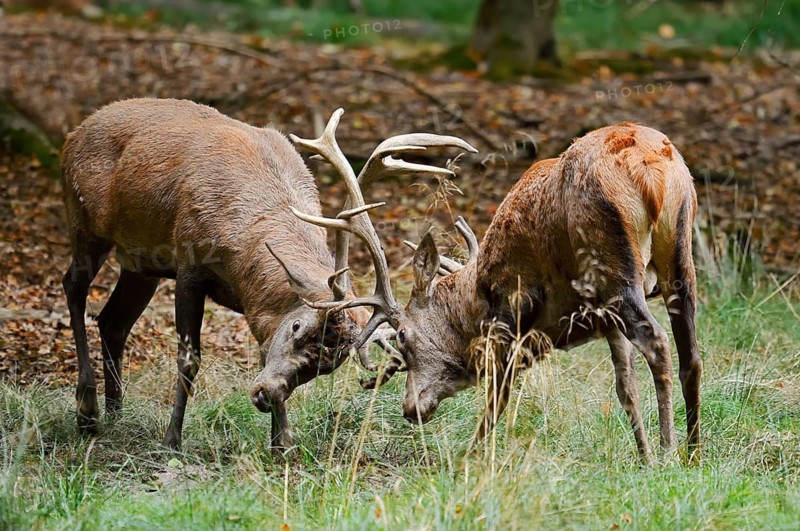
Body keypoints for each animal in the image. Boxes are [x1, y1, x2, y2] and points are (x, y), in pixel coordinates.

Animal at [60, 98, 474, 450]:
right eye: (297, 327)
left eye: (325, 367)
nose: (263, 395)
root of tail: (75, 132)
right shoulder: (189, 262)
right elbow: (189, 358)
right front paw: (171, 441)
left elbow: (262, 355)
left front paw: (282, 445)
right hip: (83, 220)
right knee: (74, 287)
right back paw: (87, 412)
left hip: (140, 262)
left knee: (113, 320)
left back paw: (116, 412)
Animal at [290, 122, 701, 464]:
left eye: (404, 336)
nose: (410, 409)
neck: (479, 292)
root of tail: (652, 169)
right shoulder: (604, 321)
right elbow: (625, 387)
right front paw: (642, 455)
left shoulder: (515, 310)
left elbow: (498, 394)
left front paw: (470, 457)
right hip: (679, 252)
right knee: (690, 355)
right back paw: (693, 452)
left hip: (612, 264)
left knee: (658, 343)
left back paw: (669, 451)